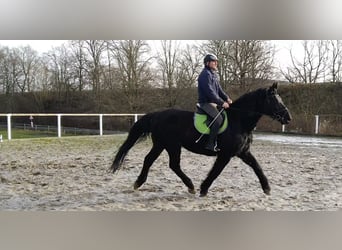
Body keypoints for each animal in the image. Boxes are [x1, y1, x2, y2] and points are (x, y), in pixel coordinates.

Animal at [109, 83, 292, 196]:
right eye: (274, 100)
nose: (288, 118)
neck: (239, 120)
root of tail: (157, 115)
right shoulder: (225, 154)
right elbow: (216, 171)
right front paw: (204, 189)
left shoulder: (243, 152)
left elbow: (257, 167)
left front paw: (267, 188)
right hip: (172, 145)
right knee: (173, 164)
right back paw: (190, 186)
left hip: (161, 144)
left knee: (149, 160)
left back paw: (138, 183)